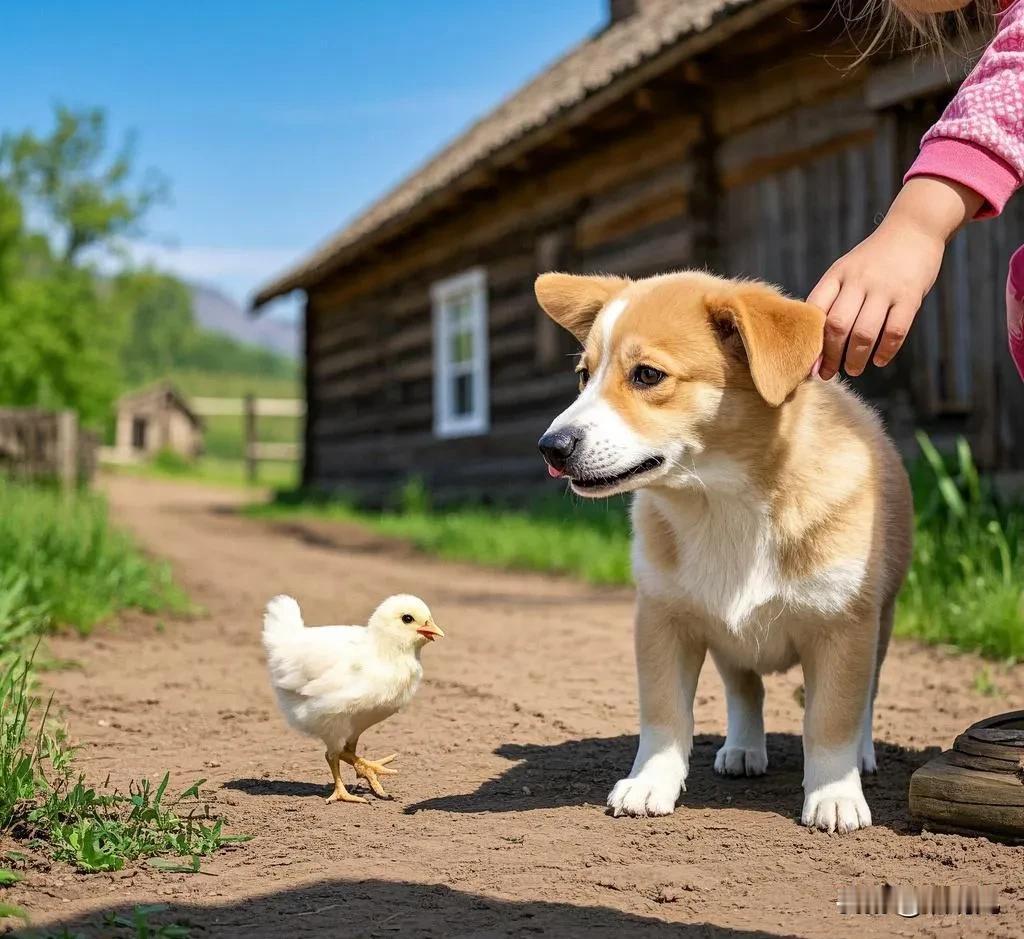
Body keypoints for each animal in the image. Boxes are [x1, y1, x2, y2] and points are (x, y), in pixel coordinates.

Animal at [536, 268, 913, 831]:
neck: (721, 502)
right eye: (584, 375)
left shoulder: (843, 625)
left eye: (647, 375)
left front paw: (834, 794)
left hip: (881, 623)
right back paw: (743, 748)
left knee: (866, 693)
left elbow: (831, 719)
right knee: (745, 690)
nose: (551, 448)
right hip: (728, 641)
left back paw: (862, 755)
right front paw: (650, 783)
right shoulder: (663, 619)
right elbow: (664, 715)